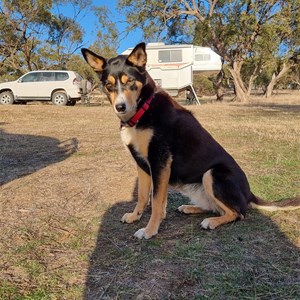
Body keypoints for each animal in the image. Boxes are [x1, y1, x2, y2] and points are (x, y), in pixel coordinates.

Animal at [81, 42, 298, 239]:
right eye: (109, 85)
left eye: (130, 82)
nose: (120, 107)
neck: (143, 110)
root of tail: (249, 192)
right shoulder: (142, 164)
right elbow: (143, 196)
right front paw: (136, 217)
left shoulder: (160, 162)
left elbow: (156, 201)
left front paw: (150, 230)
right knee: (216, 207)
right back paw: (190, 208)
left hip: (212, 174)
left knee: (237, 213)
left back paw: (212, 222)